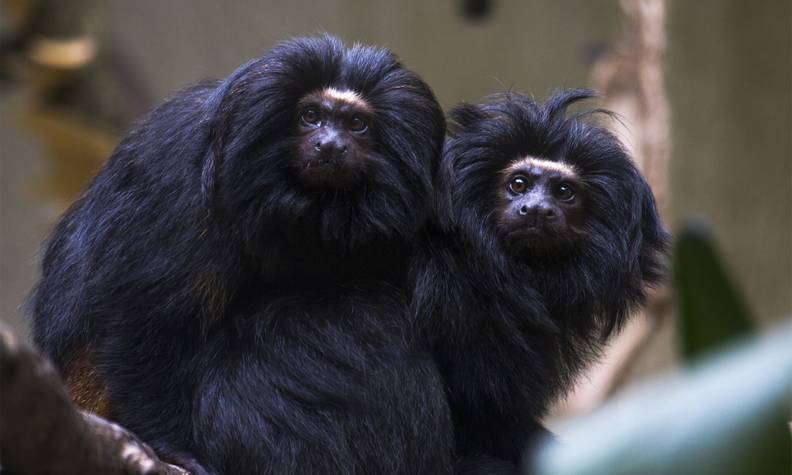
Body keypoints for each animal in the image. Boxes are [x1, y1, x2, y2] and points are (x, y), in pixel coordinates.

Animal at [31, 35, 454, 474]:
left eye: (357, 125)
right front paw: (168, 446)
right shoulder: (178, 179)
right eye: (310, 116)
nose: (331, 145)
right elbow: (136, 313)